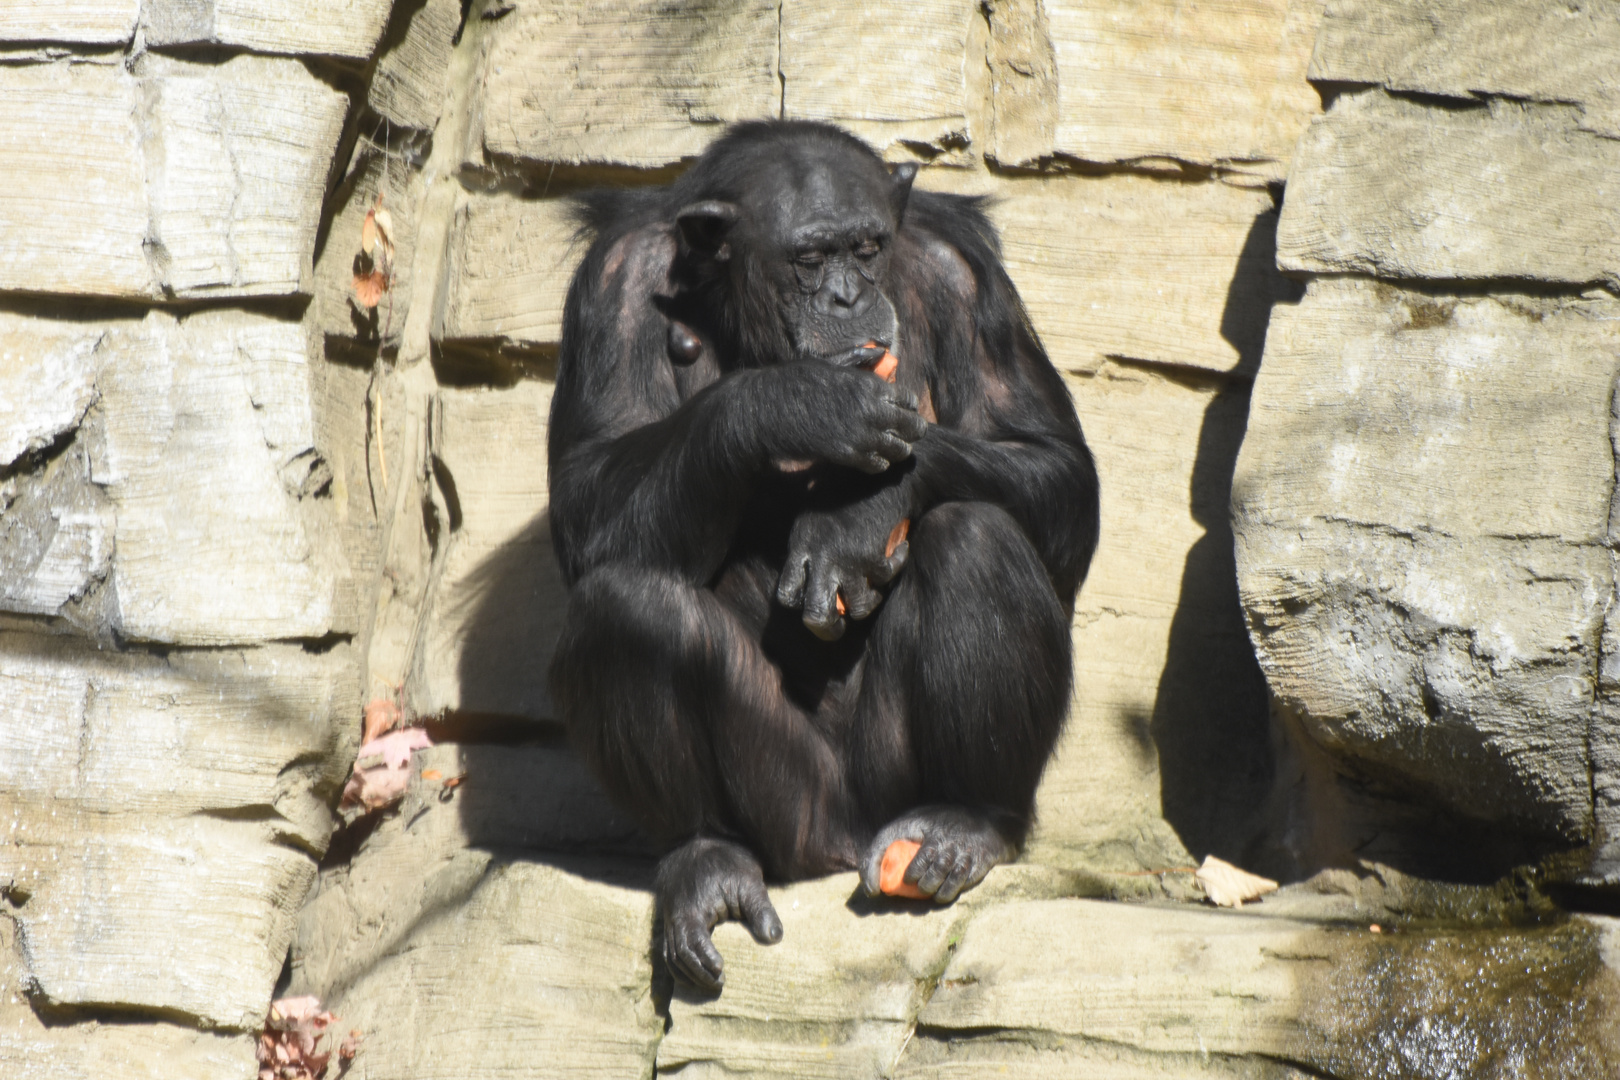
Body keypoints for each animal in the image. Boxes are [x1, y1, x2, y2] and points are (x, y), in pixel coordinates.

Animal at [547, 118, 1101, 990]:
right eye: (808, 259)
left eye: (868, 248)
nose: (847, 297)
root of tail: (844, 843)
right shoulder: (612, 284)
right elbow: (584, 493)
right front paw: (800, 404)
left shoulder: (966, 276)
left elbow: (1052, 463)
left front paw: (856, 514)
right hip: (790, 811)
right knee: (625, 603)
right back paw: (706, 860)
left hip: (888, 784)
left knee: (976, 535)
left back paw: (962, 823)